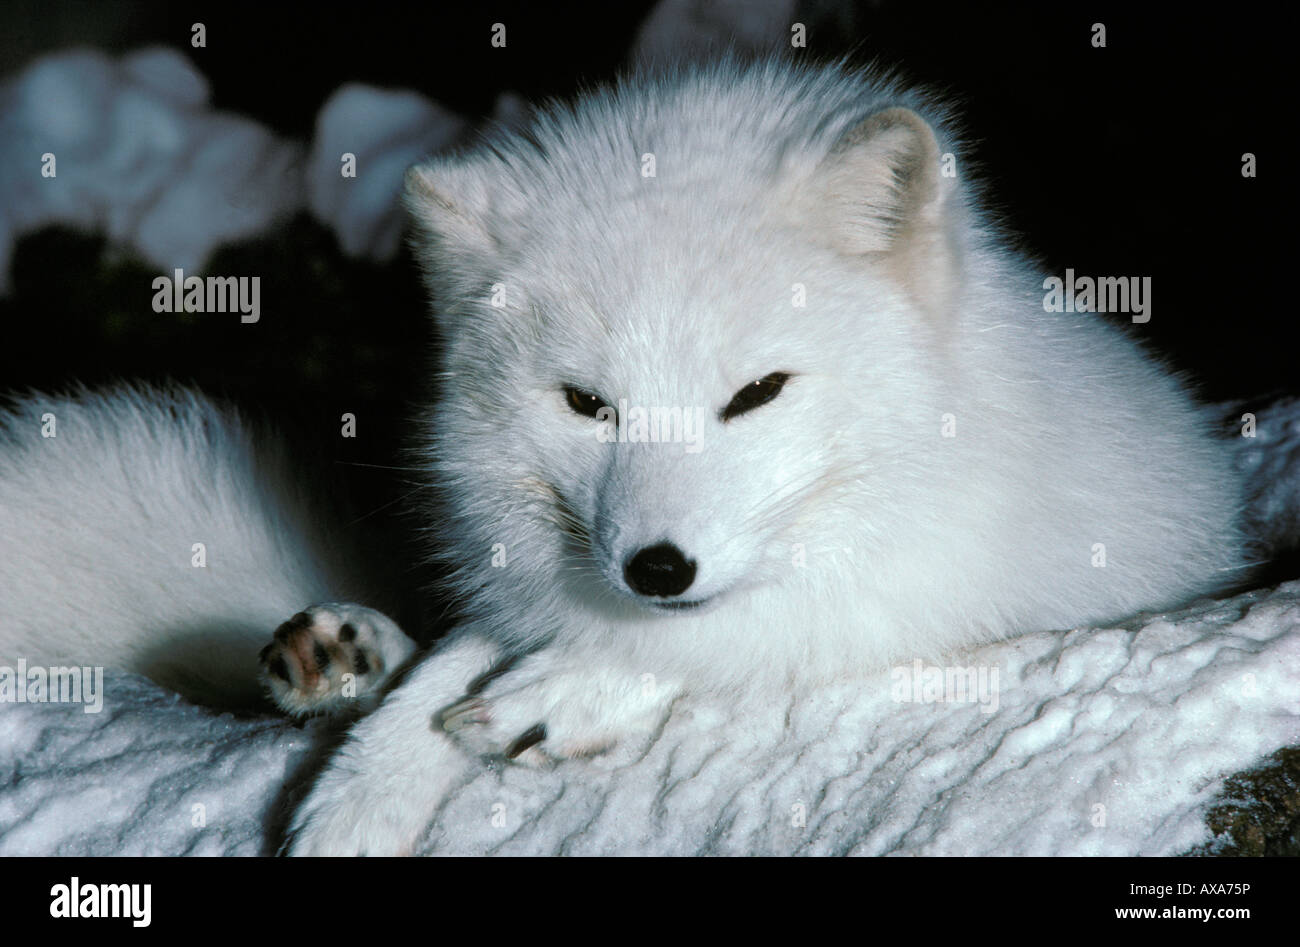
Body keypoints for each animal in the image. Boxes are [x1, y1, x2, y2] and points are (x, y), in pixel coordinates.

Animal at [0, 61, 1248, 858]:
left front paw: (570, 688)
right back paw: (343, 655)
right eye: (587, 403)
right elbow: (454, 659)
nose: (654, 568)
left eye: (755, 393)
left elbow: (760, 638)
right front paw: (364, 782)